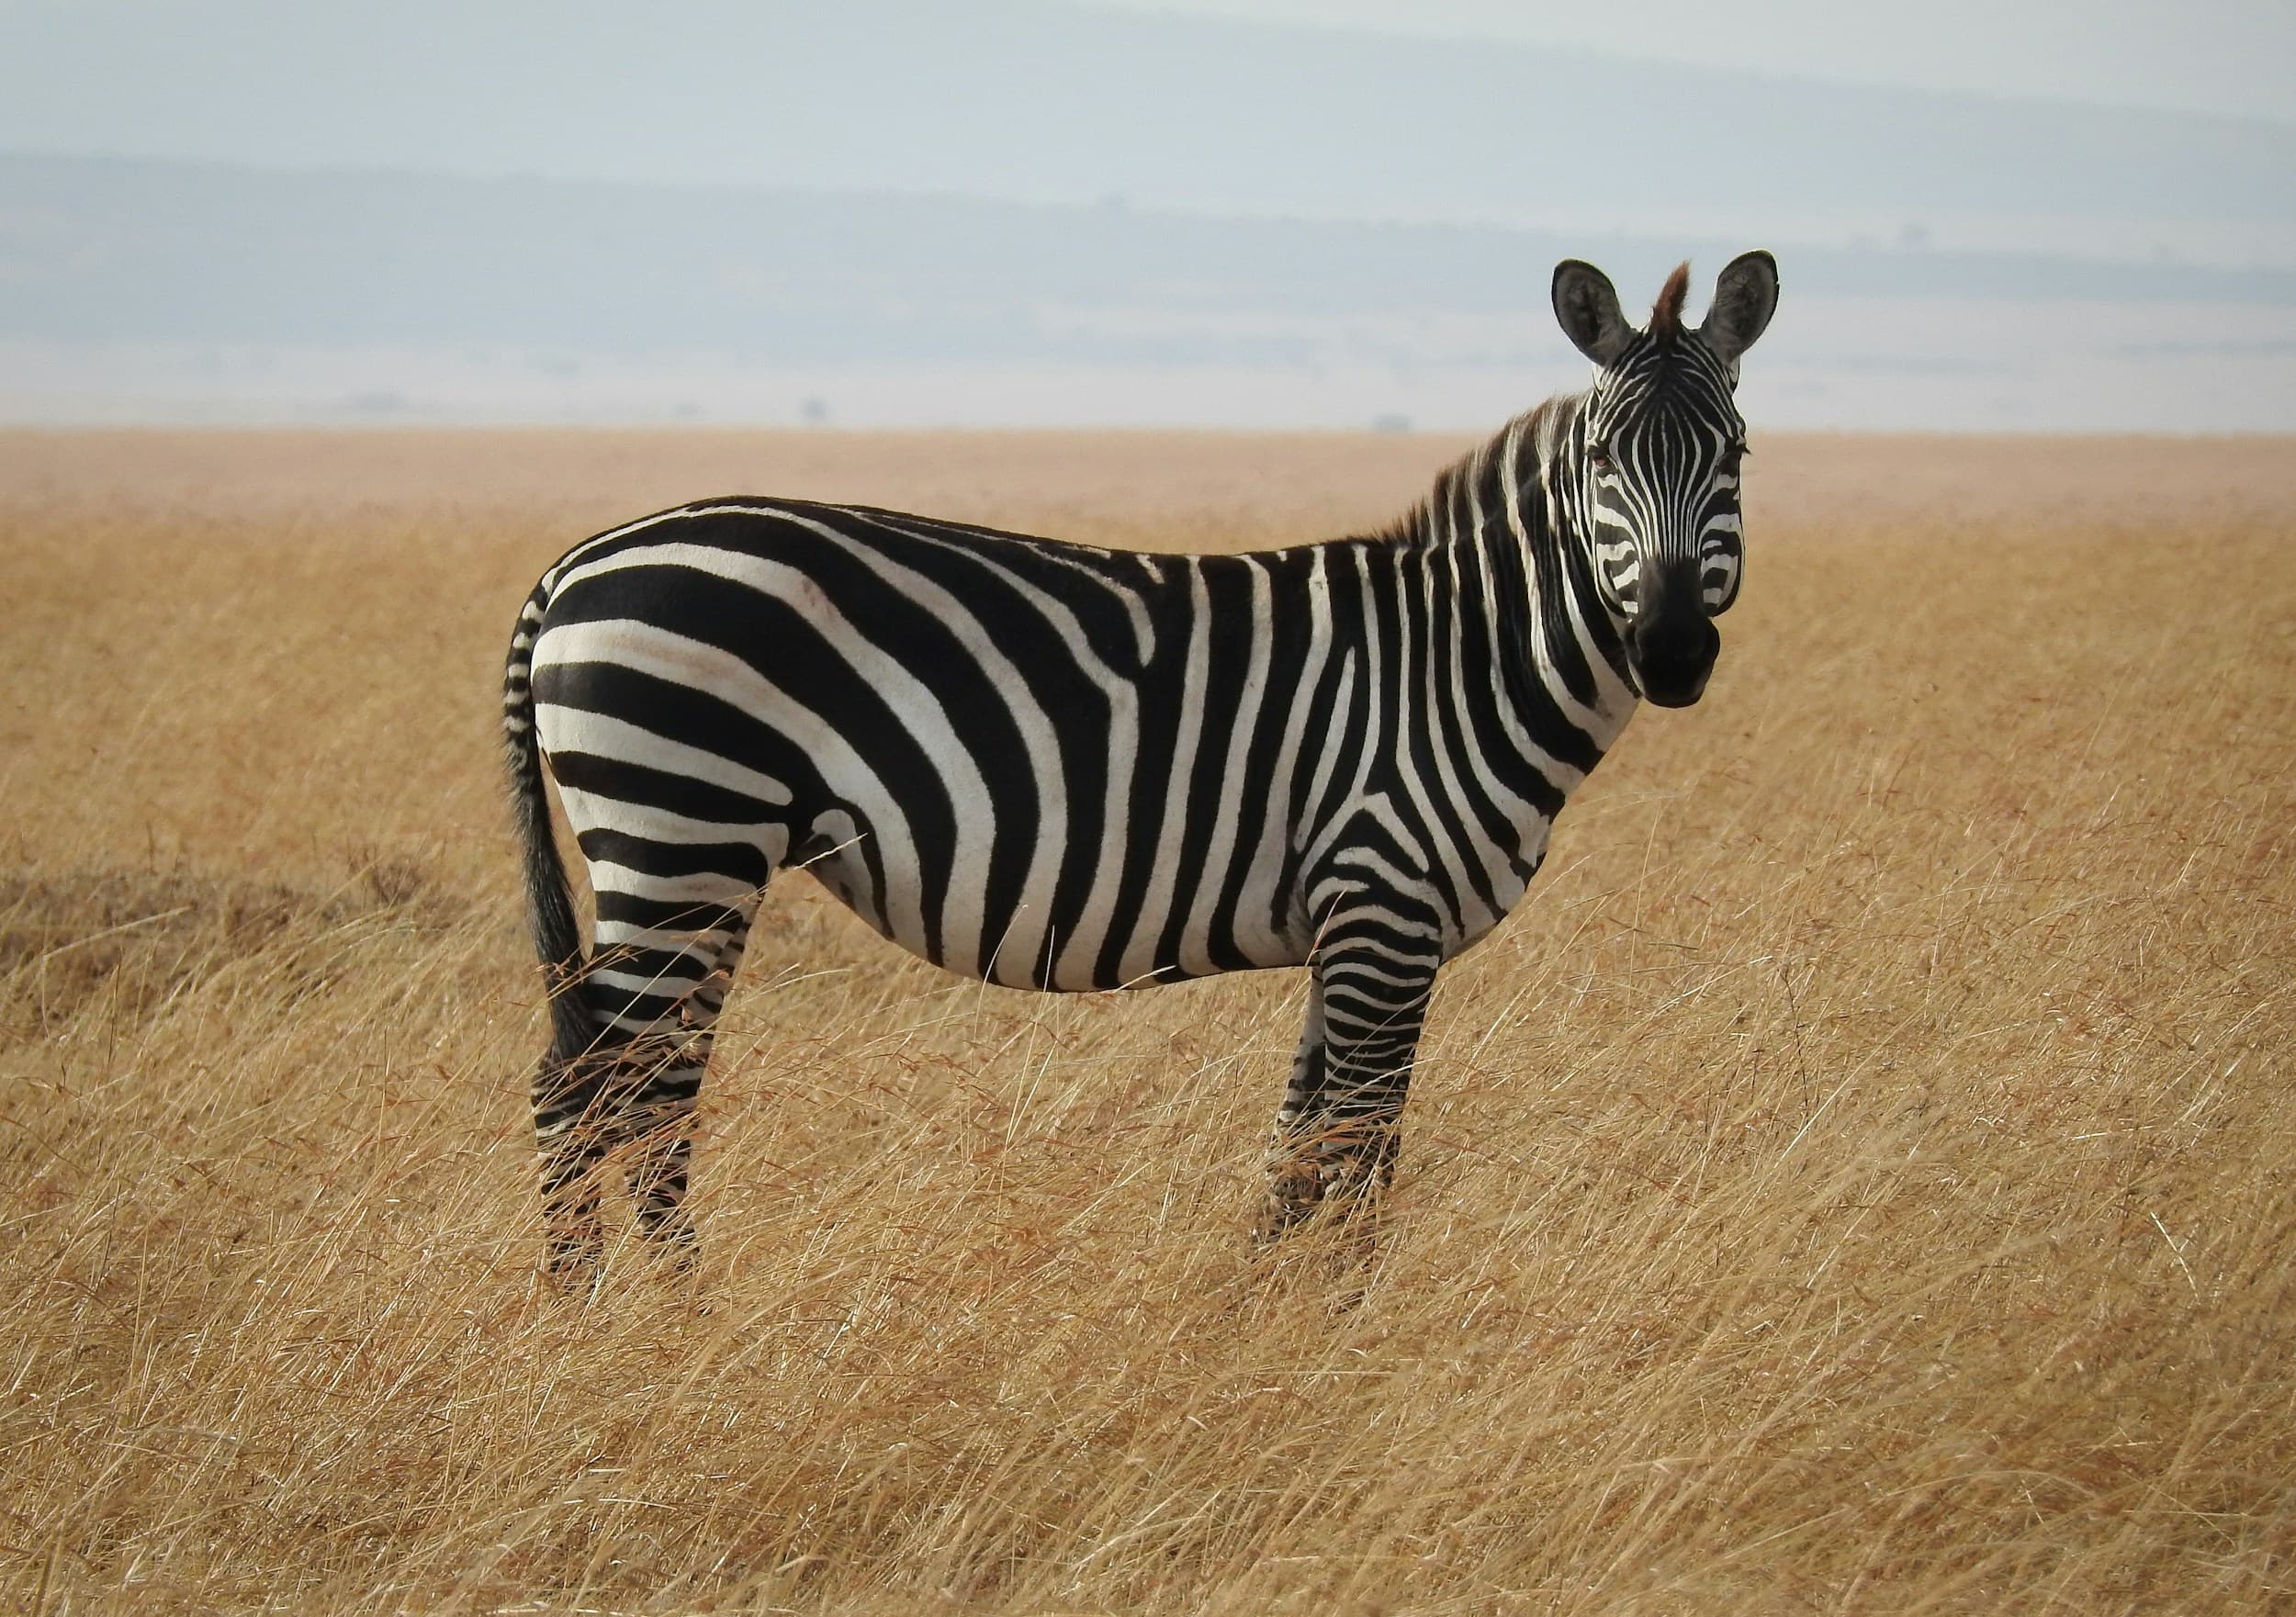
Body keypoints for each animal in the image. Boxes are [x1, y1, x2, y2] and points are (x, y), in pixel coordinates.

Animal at [503, 252, 1779, 1278]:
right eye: (1604, 459)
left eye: (1736, 454)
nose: (1672, 651)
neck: (1460, 661)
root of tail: (575, 561)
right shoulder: (1385, 907)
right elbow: (1362, 1152)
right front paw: (1349, 1333)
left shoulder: (1346, 928)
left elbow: (1295, 1154)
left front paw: (1258, 1324)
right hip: (685, 830)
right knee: (605, 1094)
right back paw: (638, 1327)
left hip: (692, 854)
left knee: (621, 1088)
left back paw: (616, 1315)